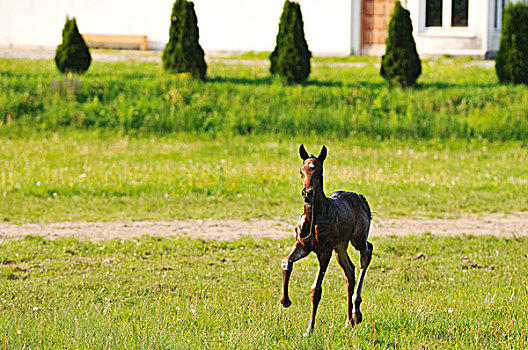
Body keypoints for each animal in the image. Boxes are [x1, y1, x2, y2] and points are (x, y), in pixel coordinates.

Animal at [280, 144, 372, 334]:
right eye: (301, 171)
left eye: (319, 171)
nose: (307, 193)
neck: (315, 217)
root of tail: (362, 198)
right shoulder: (302, 245)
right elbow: (286, 262)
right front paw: (285, 301)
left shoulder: (325, 251)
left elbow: (316, 290)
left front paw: (310, 328)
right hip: (340, 246)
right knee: (349, 271)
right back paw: (349, 320)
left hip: (357, 239)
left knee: (367, 252)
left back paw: (357, 313)